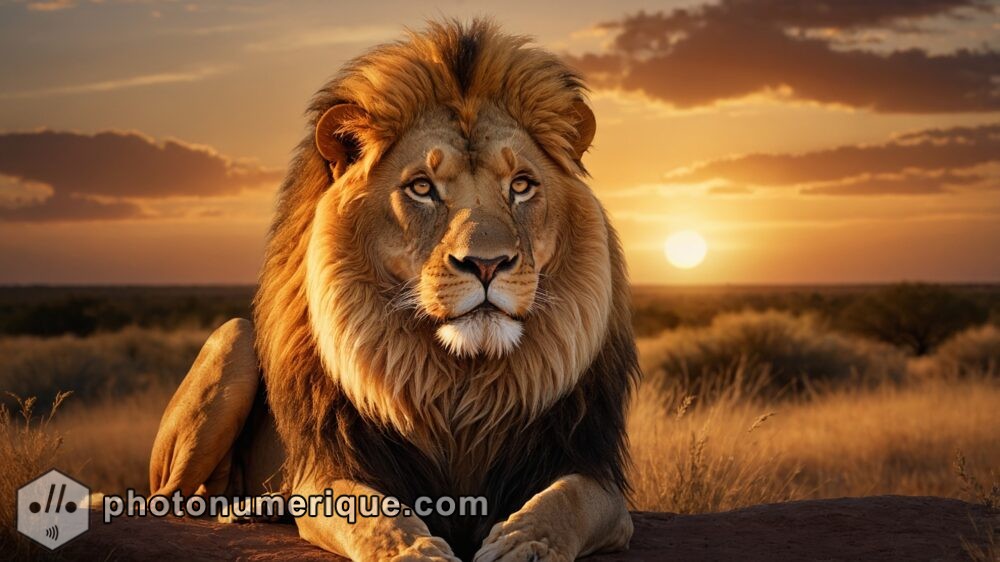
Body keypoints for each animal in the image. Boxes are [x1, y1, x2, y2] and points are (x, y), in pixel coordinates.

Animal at [153, 18, 644, 560]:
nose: (487, 263)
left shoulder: (595, 475)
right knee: (172, 497)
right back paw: (249, 506)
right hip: (234, 340)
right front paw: (414, 550)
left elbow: (564, 500)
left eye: (521, 185)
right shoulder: (333, 469)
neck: (460, 383)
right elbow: (372, 513)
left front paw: (526, 543)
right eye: (422, 187)